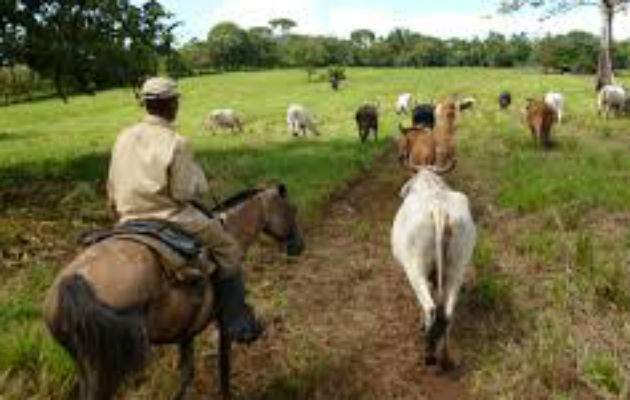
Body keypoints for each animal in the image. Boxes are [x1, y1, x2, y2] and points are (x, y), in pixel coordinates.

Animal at [43, 184, 304, 400]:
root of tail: (72, 281)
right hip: (108, 368)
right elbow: (224, 369)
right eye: (292, 209)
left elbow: (187, 373)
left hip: (85, 364)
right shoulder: (223, 324)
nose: (299, 246)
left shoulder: (186, 331)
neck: (232, 230)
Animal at [392, 168, 476, 368]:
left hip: (415, 270)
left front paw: (421, 324)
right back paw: (445, 356)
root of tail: (439, 209)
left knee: (430, 307)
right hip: (457, 269)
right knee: (447, 312)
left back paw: (429, 355)